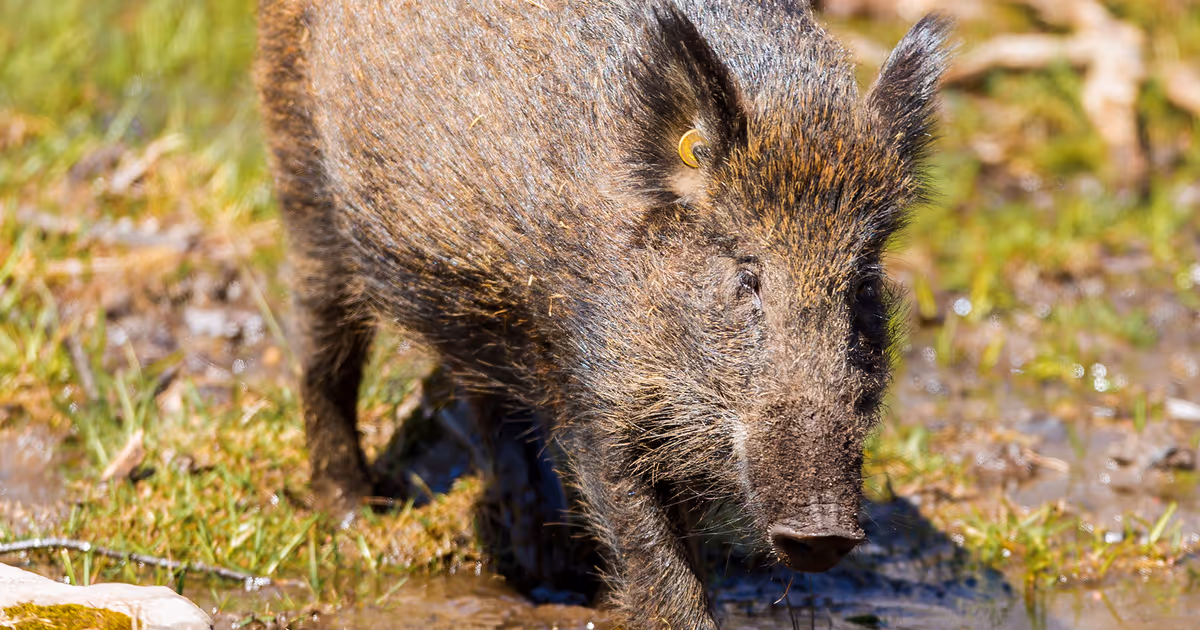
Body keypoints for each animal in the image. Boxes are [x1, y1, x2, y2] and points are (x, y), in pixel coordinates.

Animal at [255, 0, 951, 627]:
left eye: (862, 284)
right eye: (747, 277)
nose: (822, 532)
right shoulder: (592, 386)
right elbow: (656, 567)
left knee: (492, 404)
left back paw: (548, 572)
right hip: (302, 169)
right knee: (324, 349)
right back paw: (356, 513)